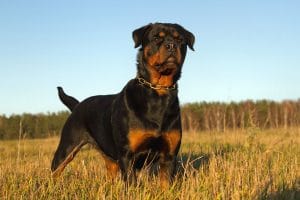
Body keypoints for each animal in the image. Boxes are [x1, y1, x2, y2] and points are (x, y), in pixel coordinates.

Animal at [51, 22, 195, 188]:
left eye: (181, 40)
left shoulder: (169, 155)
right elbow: (131, 184)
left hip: (110, 157)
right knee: (55, 170)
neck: (159, 91)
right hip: (67, 147)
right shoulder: (127, 155)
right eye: (156, 37)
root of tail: (77, 105)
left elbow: (166, 184)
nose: (171, 45)